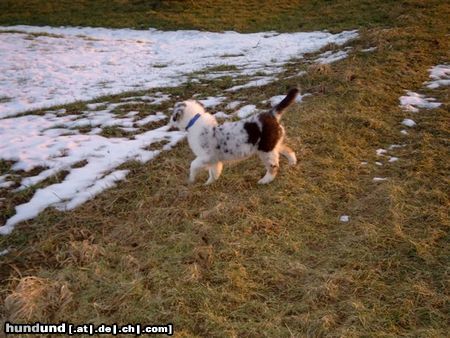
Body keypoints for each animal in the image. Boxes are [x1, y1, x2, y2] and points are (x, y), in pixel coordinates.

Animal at [169, 88, 298, 185]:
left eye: (173, 115)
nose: (170, 120)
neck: (194, 120)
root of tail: (271, 114)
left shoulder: (205, 156)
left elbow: (193, 165)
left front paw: (191, 180)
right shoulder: (214, 159)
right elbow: (214, 172)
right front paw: (208, 184)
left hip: (266, 150)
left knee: (273, 166)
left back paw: (264, 180)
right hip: (273, 144)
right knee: (289, 151)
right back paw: (292, 163)